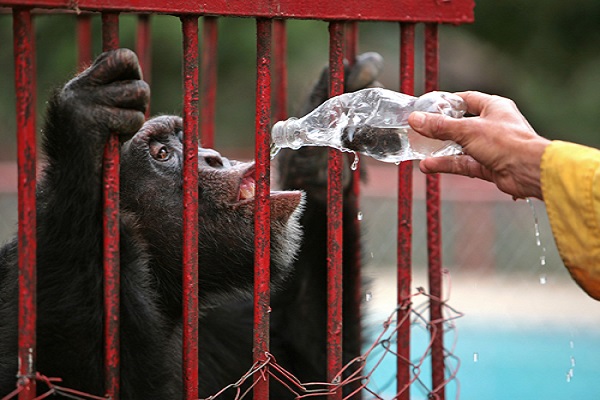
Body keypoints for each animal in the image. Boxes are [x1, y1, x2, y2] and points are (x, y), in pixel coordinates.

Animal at [0, 47, 384, 396]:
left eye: (185, 140)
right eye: (161, 153)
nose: (212, 156)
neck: (165, 291)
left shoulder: (219, 324)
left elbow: (308, 370)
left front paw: (320, 144)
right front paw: (85, 132)